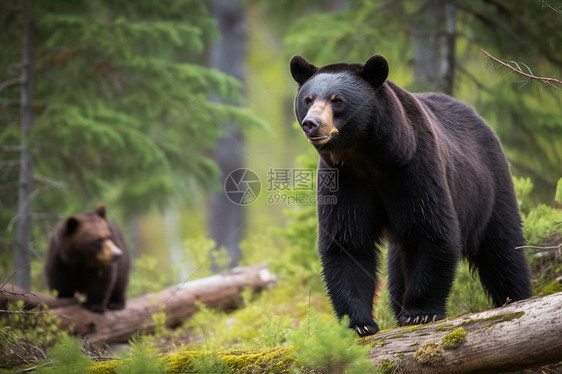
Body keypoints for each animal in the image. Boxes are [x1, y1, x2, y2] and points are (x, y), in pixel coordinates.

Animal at [288, 54, 528, 336]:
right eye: (308, 99)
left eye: (337, 100)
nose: (311, 124)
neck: (367, 156)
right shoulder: (344, 180)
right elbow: (348, 242)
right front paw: (359, 323)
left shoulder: (413, 168)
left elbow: (431, 232)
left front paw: (418, 313)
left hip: (489, 187)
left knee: (504, 249)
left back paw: (516, 295)